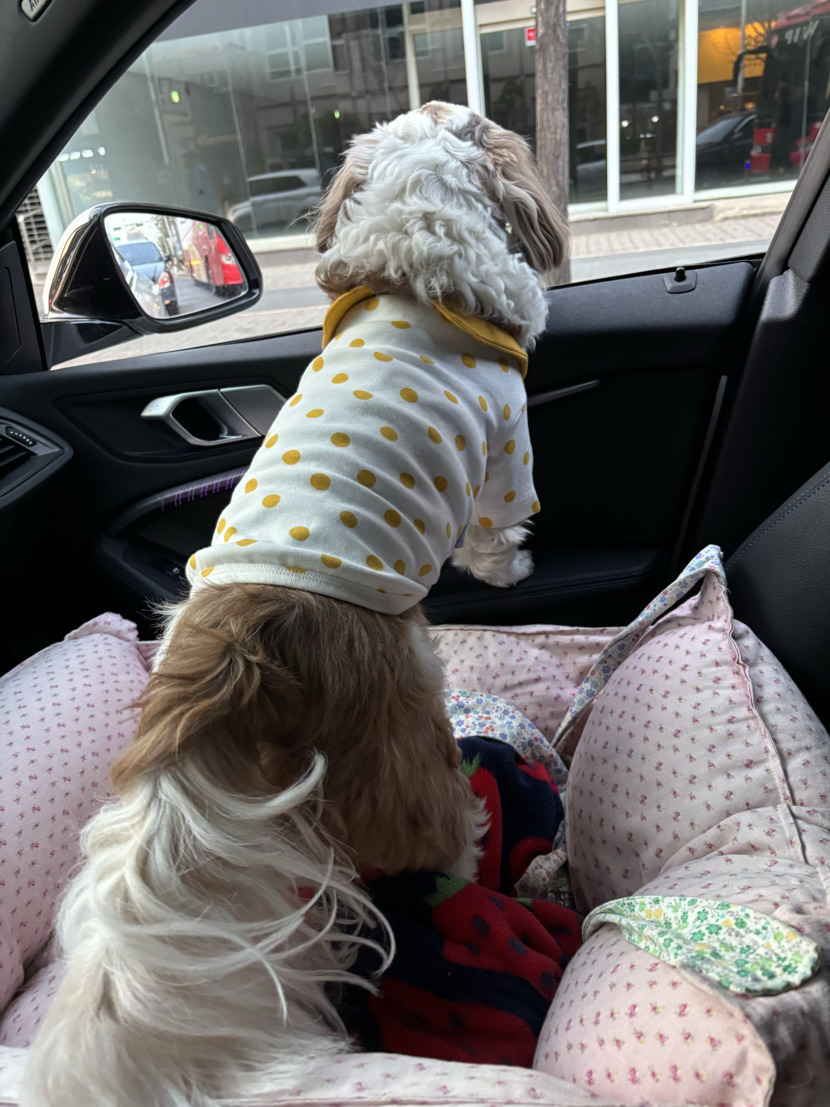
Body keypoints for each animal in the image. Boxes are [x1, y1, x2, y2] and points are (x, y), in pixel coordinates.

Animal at [22, 102, 566, 1107]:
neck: (414, 256)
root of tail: (242, 645)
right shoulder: (509, 454)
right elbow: (494, 527)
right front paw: (508, 568)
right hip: (406, 723)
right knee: (430, 834)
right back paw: (470, 850)